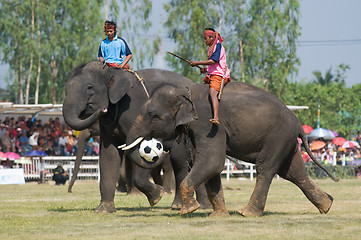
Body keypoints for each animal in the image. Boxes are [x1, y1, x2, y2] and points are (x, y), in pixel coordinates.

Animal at [61, 61, 208, 212]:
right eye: (66, 90)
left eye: (90, 87)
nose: (102, 109)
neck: (113, 70)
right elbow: (109, 155)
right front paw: (103, 210)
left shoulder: (134, 109)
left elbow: (139, 149)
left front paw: (157, 196)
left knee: (179, 162)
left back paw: (179, 205)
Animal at [122, 81, 336, 217]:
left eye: (152, 115)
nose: (157, 150)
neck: (187, 91)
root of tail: (298, 123)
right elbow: (212, 167)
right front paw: (218, 216)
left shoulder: (209, 123)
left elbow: (212, 161)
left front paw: (188, 210)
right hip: (287, 140)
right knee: (293, 172)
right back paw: (327, 206)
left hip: (278, 136)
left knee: (266, 168)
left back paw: (247, 213)